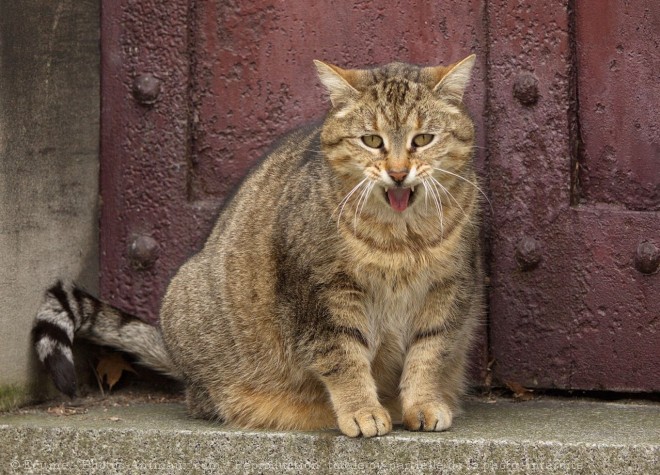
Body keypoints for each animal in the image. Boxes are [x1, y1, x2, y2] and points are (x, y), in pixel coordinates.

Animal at [32, 54, 484, 436]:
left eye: (422, 139)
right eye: (372, 140)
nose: (398, 173)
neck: (400, 237)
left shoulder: (450, 289)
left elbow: (429, 353)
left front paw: (423, 404)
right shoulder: (320, 293)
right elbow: (343, 356)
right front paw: (361, 410)